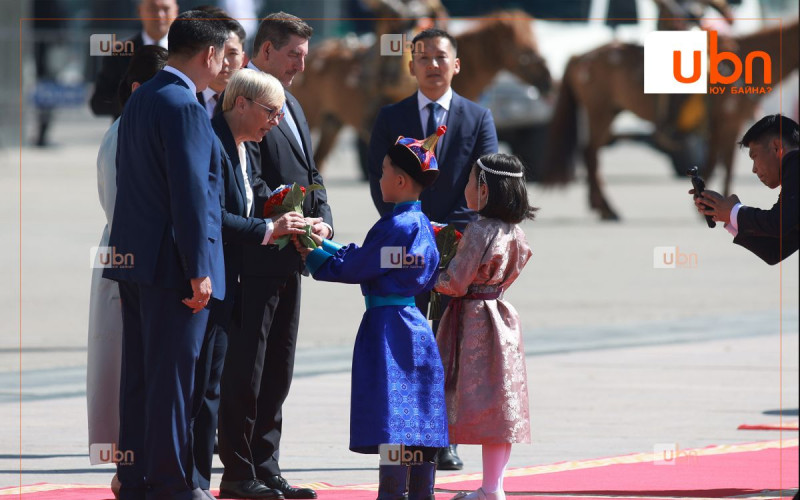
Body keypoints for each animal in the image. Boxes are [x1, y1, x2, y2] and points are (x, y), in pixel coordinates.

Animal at [540, 20, 796, 219]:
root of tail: (580, 57)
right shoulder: (729, 122)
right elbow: (721, 164)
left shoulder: (728, 124)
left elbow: (722, 162)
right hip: (599, 112)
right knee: (590, 154)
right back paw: (608, 209)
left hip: (609, 112)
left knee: (590, 153)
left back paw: (599, 206)